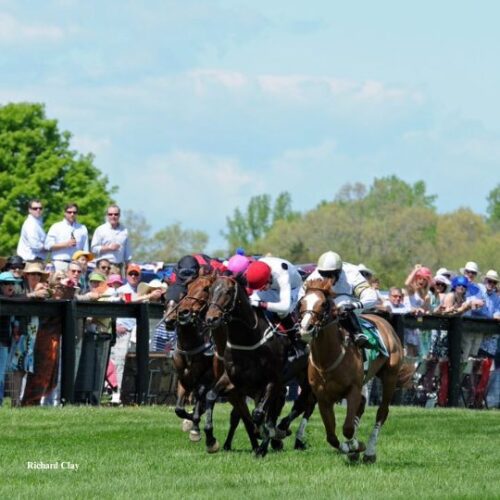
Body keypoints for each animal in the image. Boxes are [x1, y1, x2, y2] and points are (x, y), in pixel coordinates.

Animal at [298, 278, 412, 460]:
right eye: (302, 302)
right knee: (362, 406)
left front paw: (356, 446)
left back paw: (370, 451)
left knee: (382, 412)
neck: (328, 359)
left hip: (390, 376)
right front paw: (349, 449)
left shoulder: (353, 390)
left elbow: (348, 428)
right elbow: (332, 436)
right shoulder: (323, 398)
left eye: (323, 304)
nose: (305, 328)